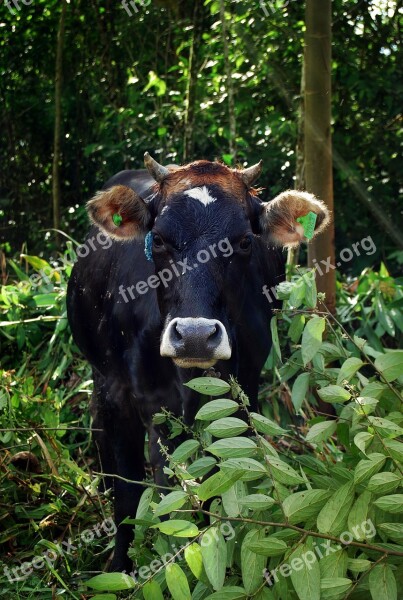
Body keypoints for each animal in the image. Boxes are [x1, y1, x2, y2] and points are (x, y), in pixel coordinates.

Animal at [67, 152, 332, 568]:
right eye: (158, 239)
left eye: (244, 241)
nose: (194, 336)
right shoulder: (124, 398)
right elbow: (130, 493)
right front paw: (122, 566)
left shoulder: (243, 390)